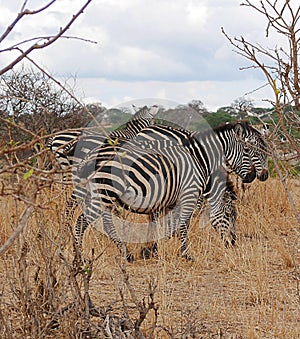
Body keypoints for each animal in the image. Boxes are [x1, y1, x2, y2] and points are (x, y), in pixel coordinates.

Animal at [74, 121, 268, 262]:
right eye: (248, 150)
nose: (232, 243)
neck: (199, 160)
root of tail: (92, 154)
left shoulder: (169, 199)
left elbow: (165, 223)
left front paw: (157, 248)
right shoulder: (189, 194)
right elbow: (183, 224)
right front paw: (185, 254)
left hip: (101, 194)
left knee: (104, 222)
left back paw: (125, 254)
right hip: (105, 193)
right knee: (82, 221)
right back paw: (80, 257)